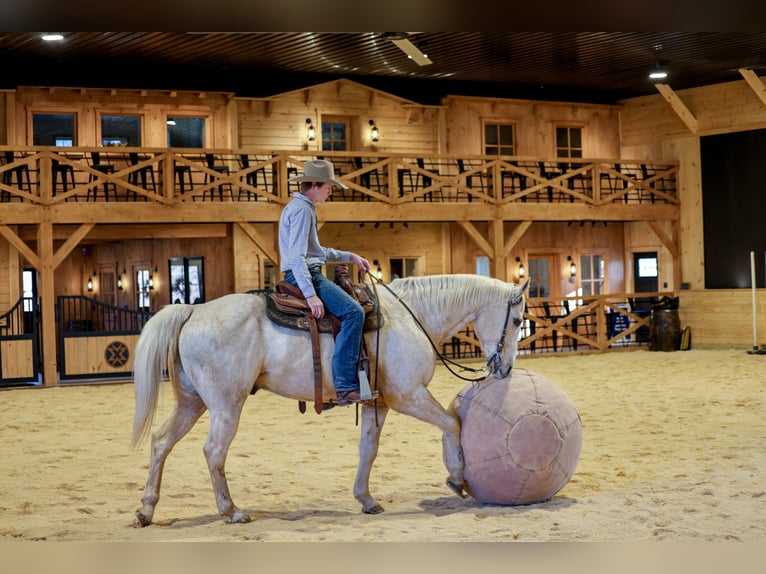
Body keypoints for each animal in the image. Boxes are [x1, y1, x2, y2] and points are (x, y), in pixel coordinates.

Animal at [131, 273, 530, 526]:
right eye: (518, 320)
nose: (507, 367)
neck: (410, 317)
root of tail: (193, 310)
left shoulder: (377, 403)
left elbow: (368, 450)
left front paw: (366, 499)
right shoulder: (408, 396)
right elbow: (452, 422)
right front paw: (457, 477)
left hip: (192, 402)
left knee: (161, 441)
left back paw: (147, 510)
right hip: (226, 405)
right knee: (213, 452)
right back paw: (231, 512)